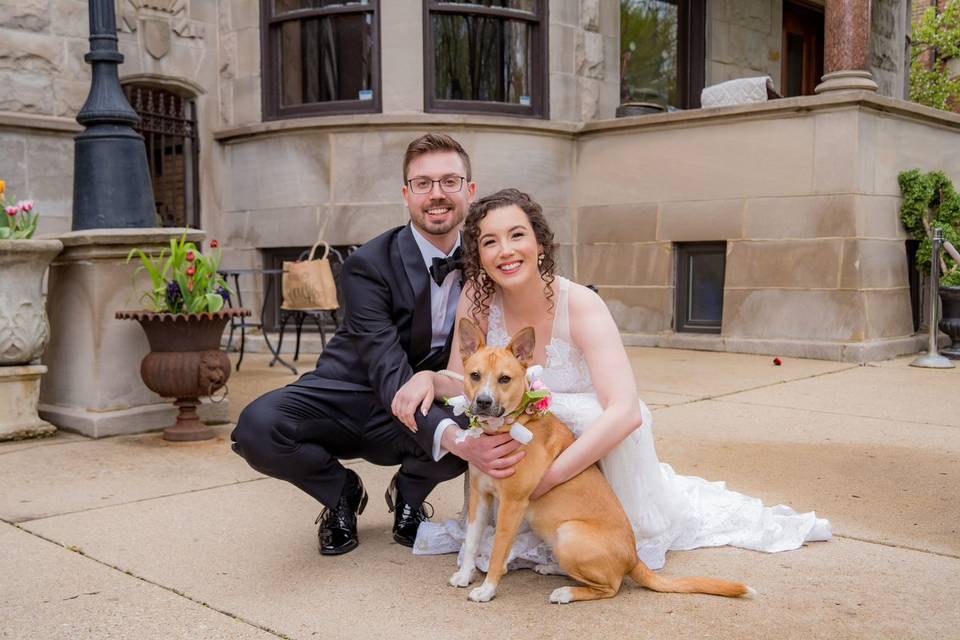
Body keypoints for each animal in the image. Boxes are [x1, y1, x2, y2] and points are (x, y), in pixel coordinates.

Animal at [446, 320, 752, 604]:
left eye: (505, 379)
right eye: (475, 375)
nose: (483, 402)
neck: (511, 426)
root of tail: (633, 557)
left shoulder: (512, 503)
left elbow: (498, 551)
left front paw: (487, 589)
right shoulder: (480, 495)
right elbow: (472, 539)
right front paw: (465, 574)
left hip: (569, 533)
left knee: (611, 587)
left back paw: (566, 592)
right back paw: (551, 567)